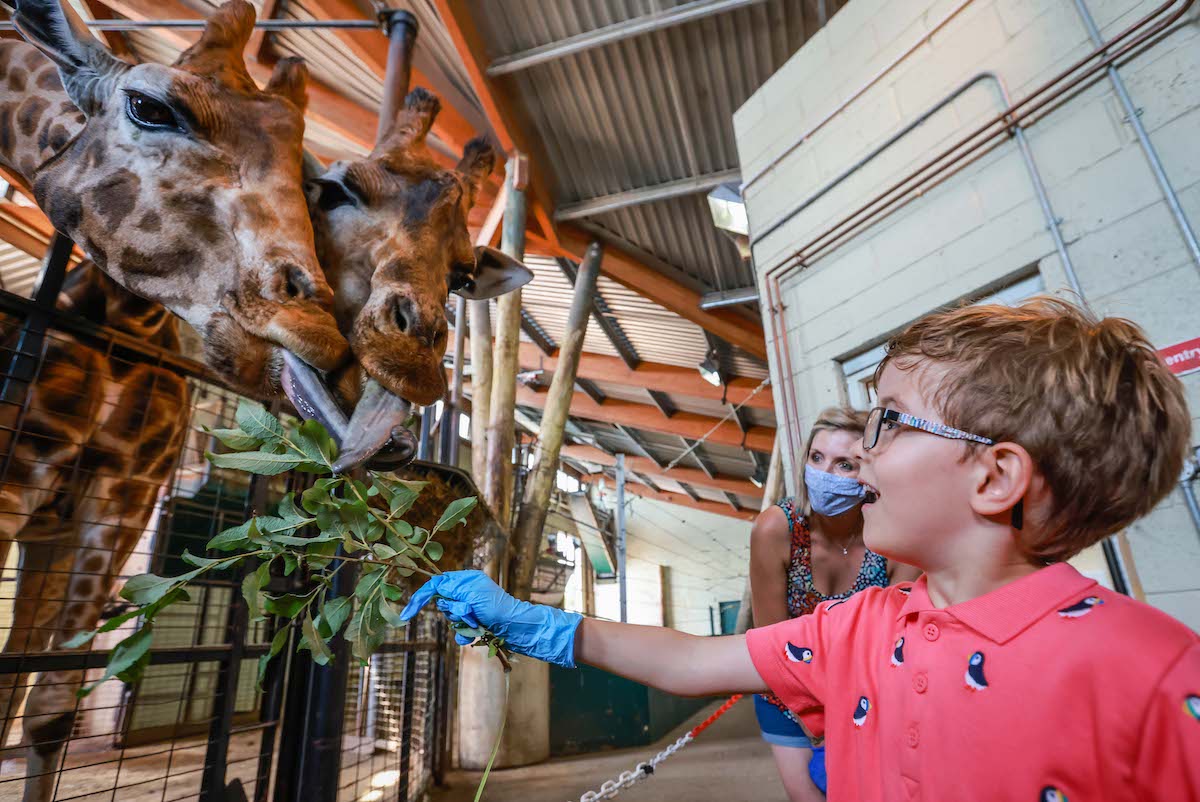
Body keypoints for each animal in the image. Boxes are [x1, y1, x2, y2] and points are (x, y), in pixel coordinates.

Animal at [0, 89, 530, 802]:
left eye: (466, 274)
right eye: (333, 190)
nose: (410, 361)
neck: (121, 321)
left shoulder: (113, 506)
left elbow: (45, 703)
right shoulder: (23, 487)